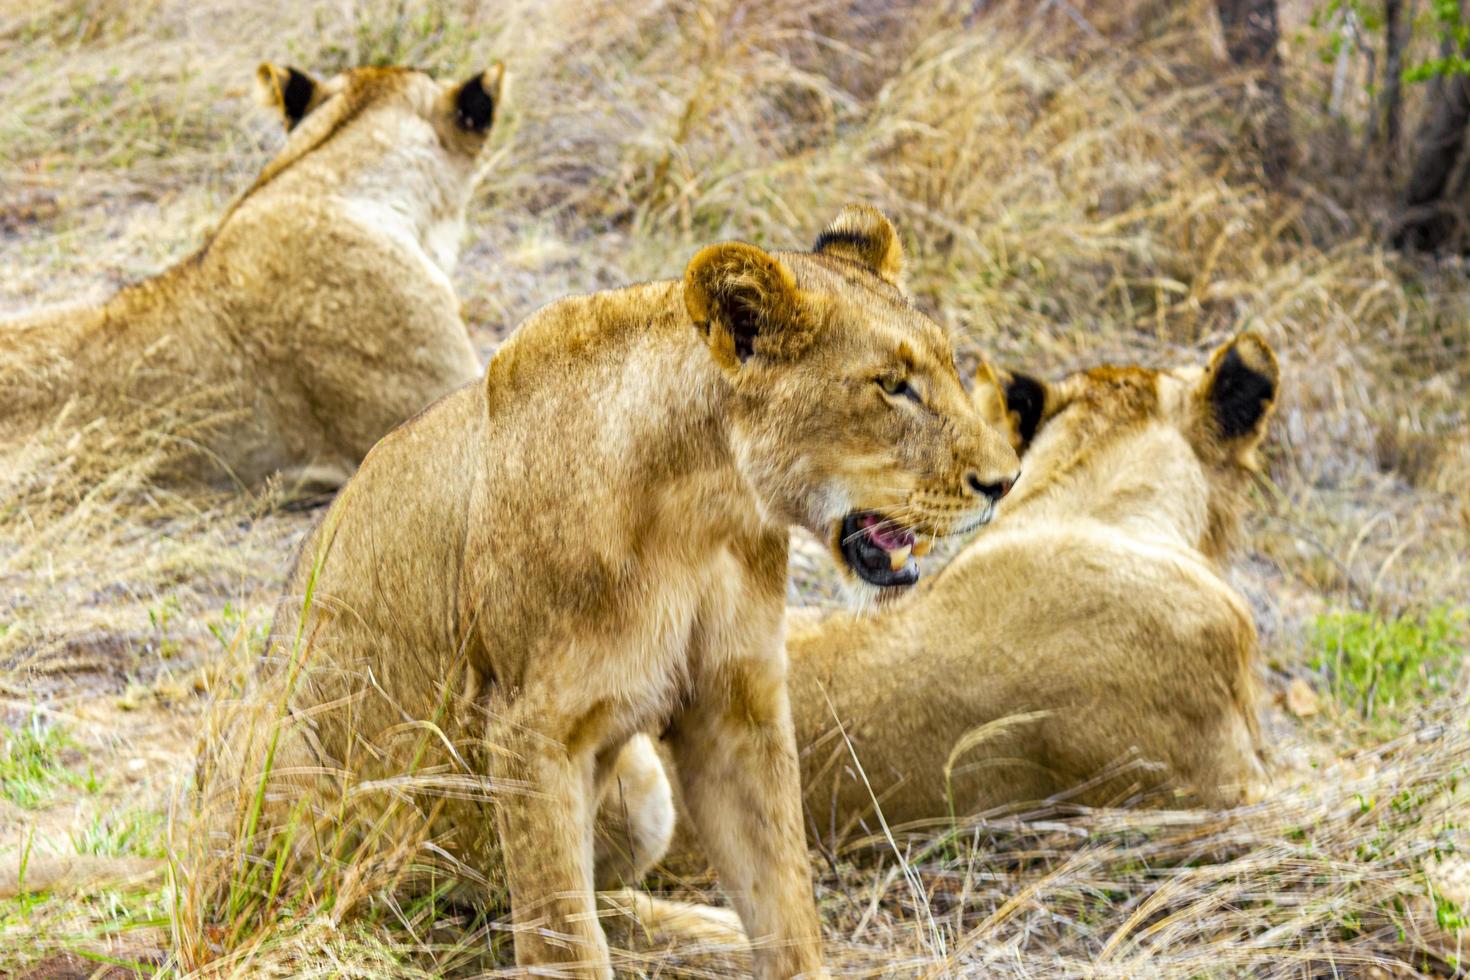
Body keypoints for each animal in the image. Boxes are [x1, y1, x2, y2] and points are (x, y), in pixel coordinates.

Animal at [192, 202, 1023, 975]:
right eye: (892, 386)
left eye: (950, 367)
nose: (1005, 481)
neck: (699, 508)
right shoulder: (528, 726)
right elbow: (565, 936)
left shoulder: (735, 708)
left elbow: (782, 896)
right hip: (288, 756)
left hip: (644, 791)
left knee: (536, 907)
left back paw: (707, 928)